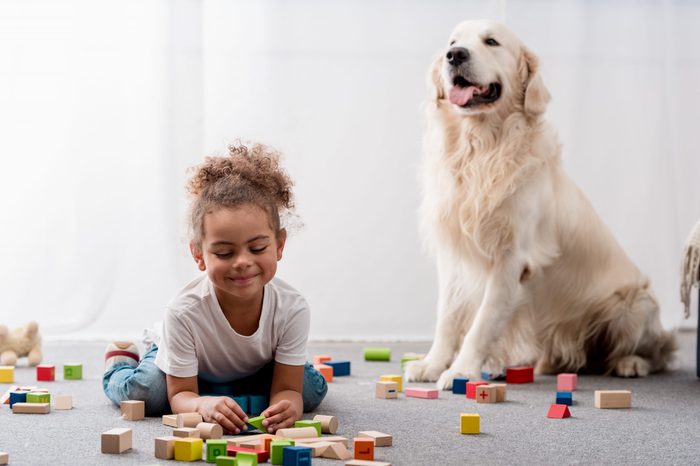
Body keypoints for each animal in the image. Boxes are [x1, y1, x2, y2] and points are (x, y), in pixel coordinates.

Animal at [408, 20, 676, 390]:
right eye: (452, 42)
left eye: (491, 41)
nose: (455, 56)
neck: (481, 148)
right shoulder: (453, 255)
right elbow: (447, 317)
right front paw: (432, 364)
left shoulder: (511, 258)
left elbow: (483, 322)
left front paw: (462, 371)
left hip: (634, 305)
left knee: (661, 351)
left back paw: (630, 362)